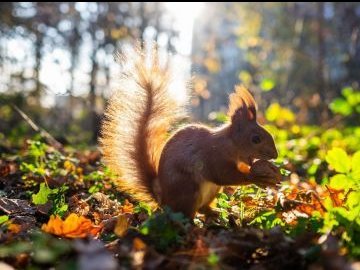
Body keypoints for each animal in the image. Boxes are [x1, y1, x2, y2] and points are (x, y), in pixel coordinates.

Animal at [99, 47, 282, 218]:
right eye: (256, 139)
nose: (275, 155)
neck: (229, 143)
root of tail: (162, 200)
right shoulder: (214, 156)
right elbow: (224, 175)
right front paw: (257, 178)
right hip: (188, 190)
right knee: (185, 215)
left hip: (213, 191)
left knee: (202, 208)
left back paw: (217, 213)